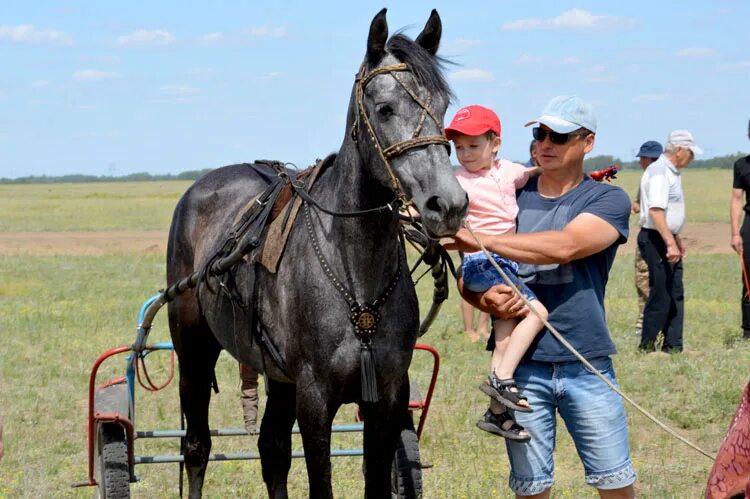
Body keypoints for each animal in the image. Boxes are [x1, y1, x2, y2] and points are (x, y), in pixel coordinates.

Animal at [167, 9, 468, 498]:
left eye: (441, 108)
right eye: (385, 108)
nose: (449, 204)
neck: (356, 276)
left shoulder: (388, 395)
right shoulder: (314, 398)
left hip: (276, 375)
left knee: (271, 447)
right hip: (194, 351)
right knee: (197, 445)